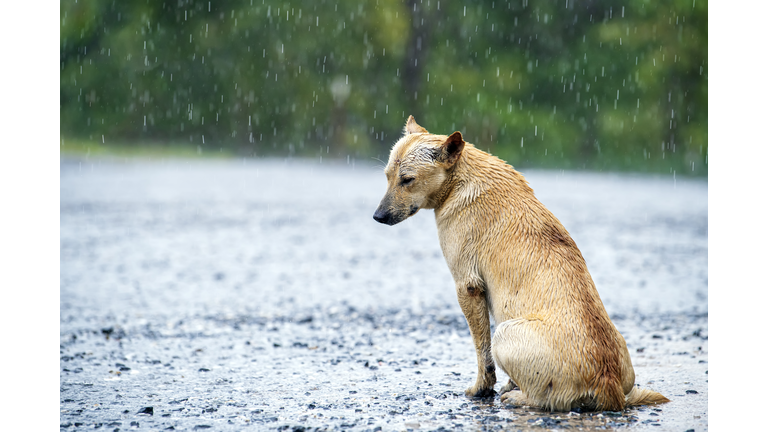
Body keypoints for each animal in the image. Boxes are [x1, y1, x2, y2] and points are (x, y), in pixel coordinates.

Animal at [370, 115, 664, 412]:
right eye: (387, 177)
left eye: (407, 180)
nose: (377, 217)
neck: (461, 180)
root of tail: (608, 383)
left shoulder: (468, 286)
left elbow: (482, 350)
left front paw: (481, 389)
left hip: (504, 333)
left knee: (542, 398)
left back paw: (516, 397)